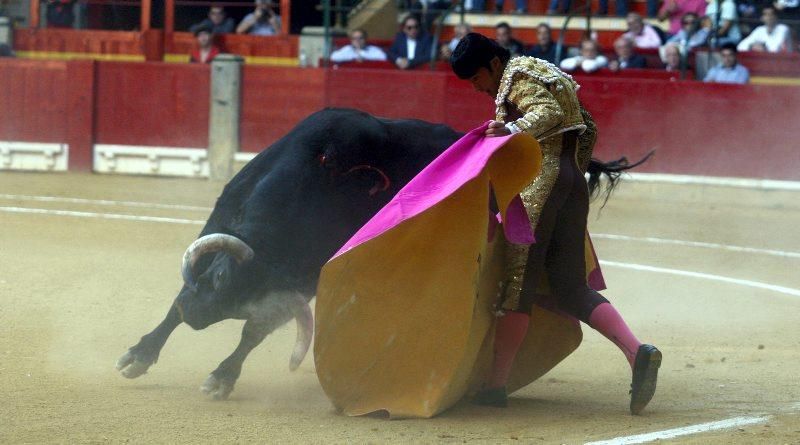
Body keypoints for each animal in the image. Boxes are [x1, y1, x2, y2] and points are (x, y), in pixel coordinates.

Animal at [115, 106, 636, 398]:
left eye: (232, 291)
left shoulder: (298, 281)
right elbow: (175, 303)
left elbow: (253, 333)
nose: (199, 317)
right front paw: (138, 354)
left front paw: (221, 378)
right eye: (221, 281)